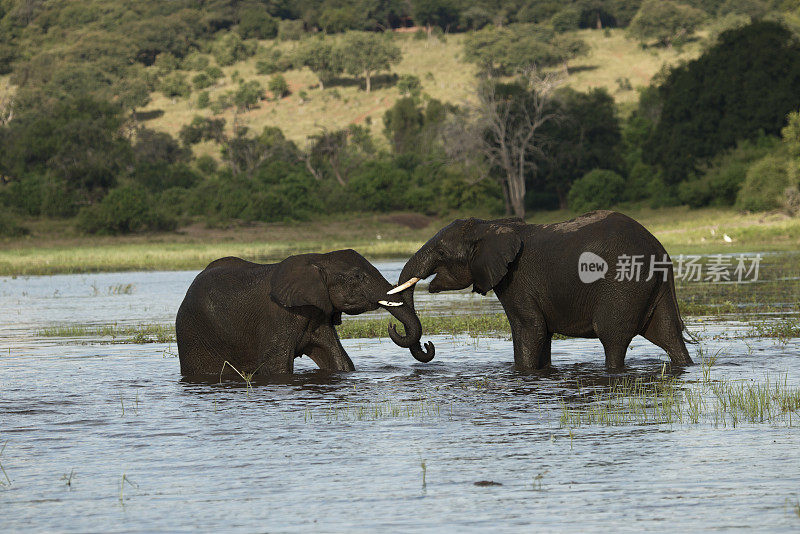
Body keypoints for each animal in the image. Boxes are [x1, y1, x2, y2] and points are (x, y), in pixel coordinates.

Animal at [174, 250, 432, 378]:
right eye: (358, 277)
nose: (428, 345)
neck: (317, 260)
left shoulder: (317, 314)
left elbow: (338, 360)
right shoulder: (280, 315)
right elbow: (276, 367)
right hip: (193, 334)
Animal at [390, 210, 692, 372]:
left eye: (441, 253)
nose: (429, 346)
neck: (490, 225)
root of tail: (659, 249)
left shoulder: (516, 280)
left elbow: (529, 328)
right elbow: (541, 333)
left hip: (624, 284)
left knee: (612, 337)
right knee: (668, 334)